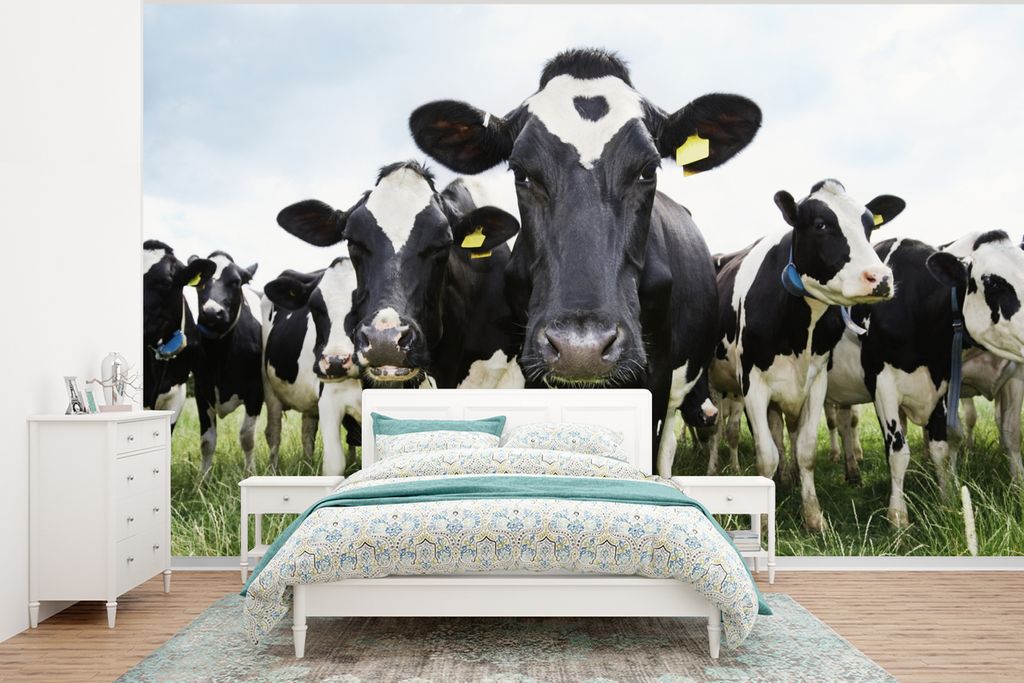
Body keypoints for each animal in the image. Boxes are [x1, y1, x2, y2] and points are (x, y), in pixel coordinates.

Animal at [187, 251, 264, 475]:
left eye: (236, 282)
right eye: (199, 282)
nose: (212, 312)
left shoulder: (256, 390)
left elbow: (247, 436)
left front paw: (250, 473)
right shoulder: (202, 391)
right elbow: (207, 442)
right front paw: (203, 478)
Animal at [261, 258, 364, 476]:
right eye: (314, 308)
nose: (335, 361)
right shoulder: (330, 400)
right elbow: (334, 464)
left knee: (307, 432)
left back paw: (308, 467)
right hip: (269, 388)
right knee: (273, 433)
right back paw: (273, 472)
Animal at [709, 179, 905, 530]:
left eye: (869, 225)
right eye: (820, 225)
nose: (880, 278)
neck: (798, 328)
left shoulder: (815, 383)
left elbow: (805, 450)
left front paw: (813, 516)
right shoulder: (752, 383)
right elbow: (765, 456)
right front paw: (762, 523)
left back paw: (785, 478)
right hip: (715, 383)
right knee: (717, 428)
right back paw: (714, 469)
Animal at [826, 230, 1024, 526]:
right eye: (993, 283)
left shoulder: (944, 384)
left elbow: (945, 445)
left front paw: (947, 501)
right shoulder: (881, 384)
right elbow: (898, 452)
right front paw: (898, 518)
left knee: (845, 421)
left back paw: (852, 473)